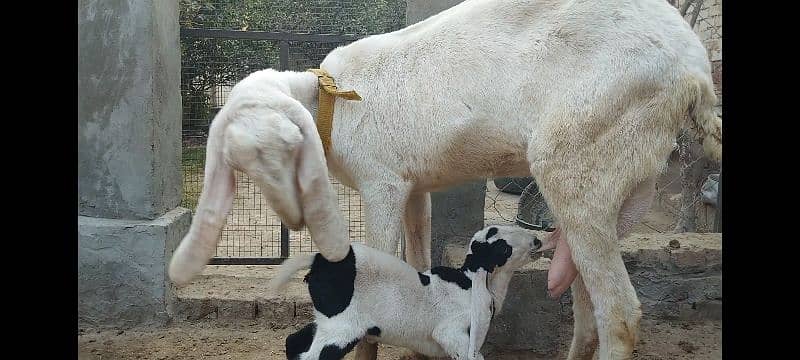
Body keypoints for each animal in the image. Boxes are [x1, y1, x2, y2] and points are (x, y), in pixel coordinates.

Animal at [272, 225, 548, 360]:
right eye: (502, 248)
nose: (537, 240)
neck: (471, 281)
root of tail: (318, 260)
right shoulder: (451, 332)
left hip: (329, 318)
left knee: (292, 341)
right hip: (343, 326)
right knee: (311, 356)